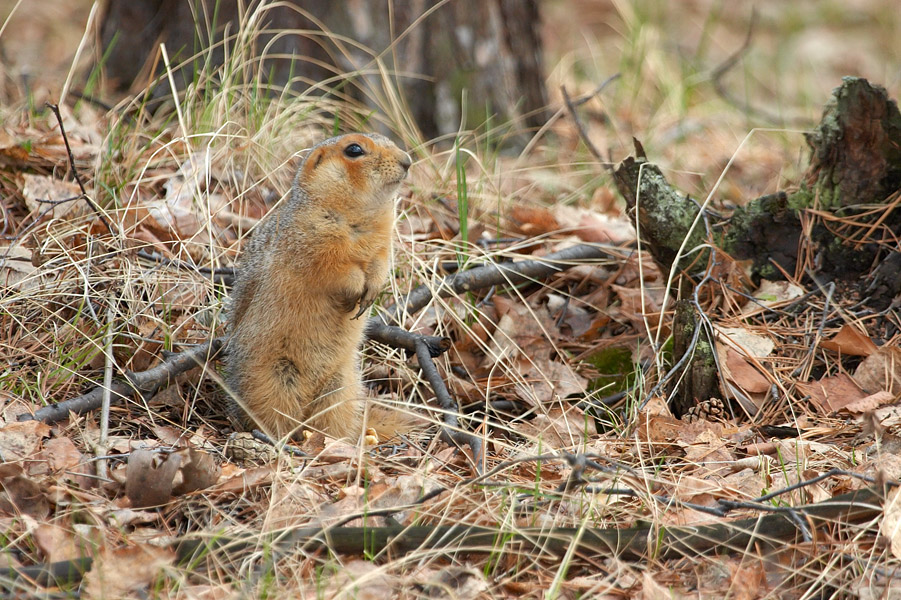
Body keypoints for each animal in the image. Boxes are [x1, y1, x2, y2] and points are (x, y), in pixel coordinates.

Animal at [225, 132, 412, 440]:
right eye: (354, 150)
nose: (407, 161)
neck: (361, 216)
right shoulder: (312, 239)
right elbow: (333, 268)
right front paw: (356, 287)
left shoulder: (384, 242)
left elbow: (380, 264)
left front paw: (371, 292)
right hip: (271, 378)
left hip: (341, 387)